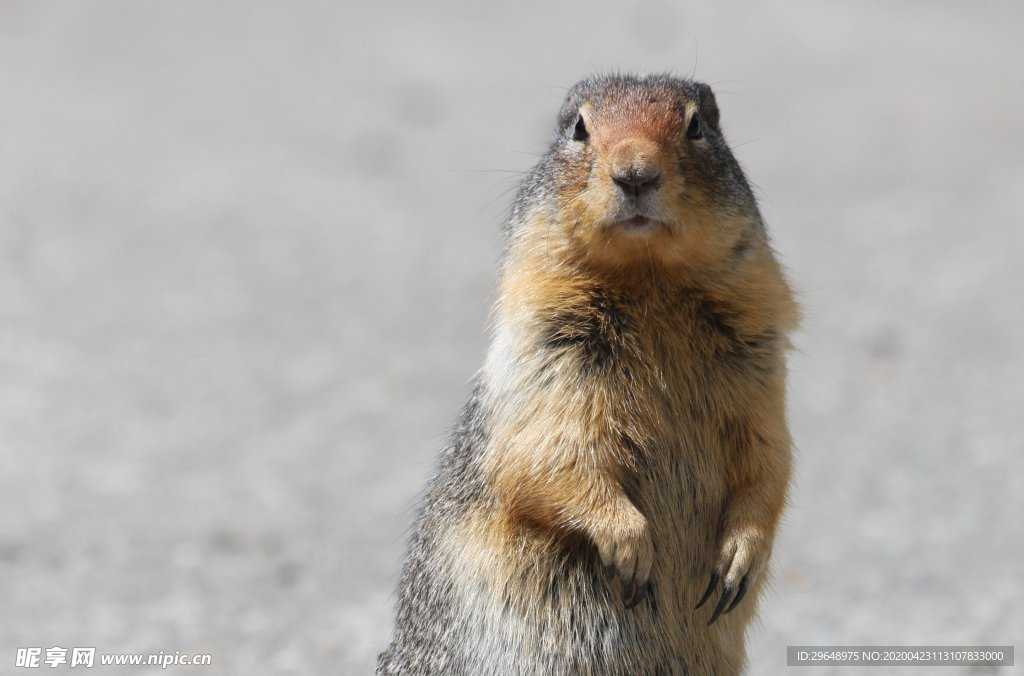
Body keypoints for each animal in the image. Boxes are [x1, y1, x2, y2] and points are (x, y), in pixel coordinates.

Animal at [378, 73, 798, 676]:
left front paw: (741, 555)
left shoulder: (760, 365)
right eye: (578, 127)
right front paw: (630, 545)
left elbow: (767, 457)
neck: (649, 282)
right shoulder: (547, 356)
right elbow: (552, 450)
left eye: (697, 125)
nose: (635, 173)